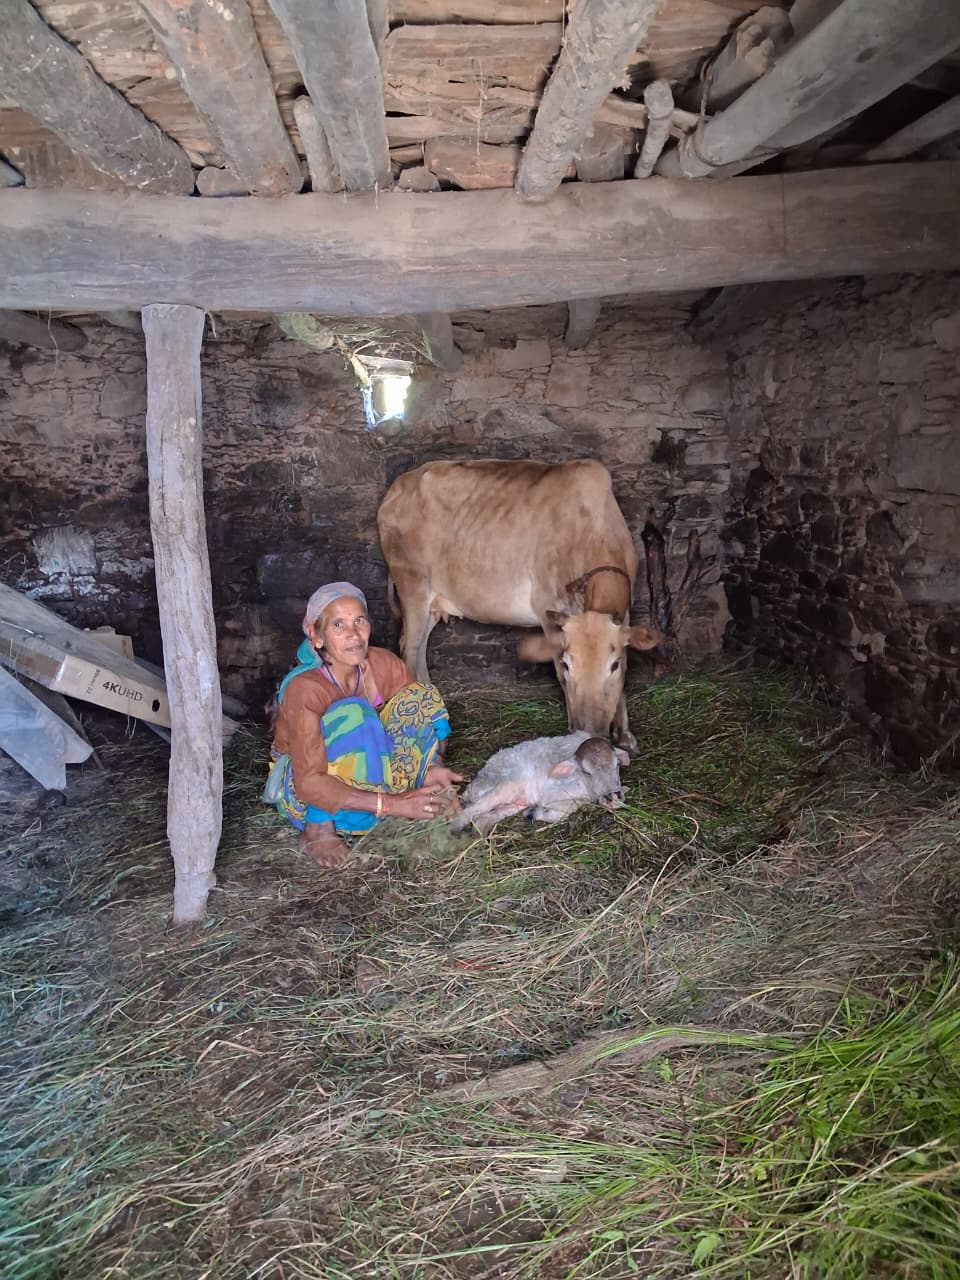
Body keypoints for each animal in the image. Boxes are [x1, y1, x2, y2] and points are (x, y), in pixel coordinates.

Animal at [376, 458, 661, 753]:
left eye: (612, 666)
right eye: (568, 665)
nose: (589, 732)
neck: (593, 530)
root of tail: (400, 483)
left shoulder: (625, 611)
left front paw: (625, 736)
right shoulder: (548, 607)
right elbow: (558, 673)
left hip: (434, 600)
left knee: (420, 647)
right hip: (412, 583)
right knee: (409, 648)